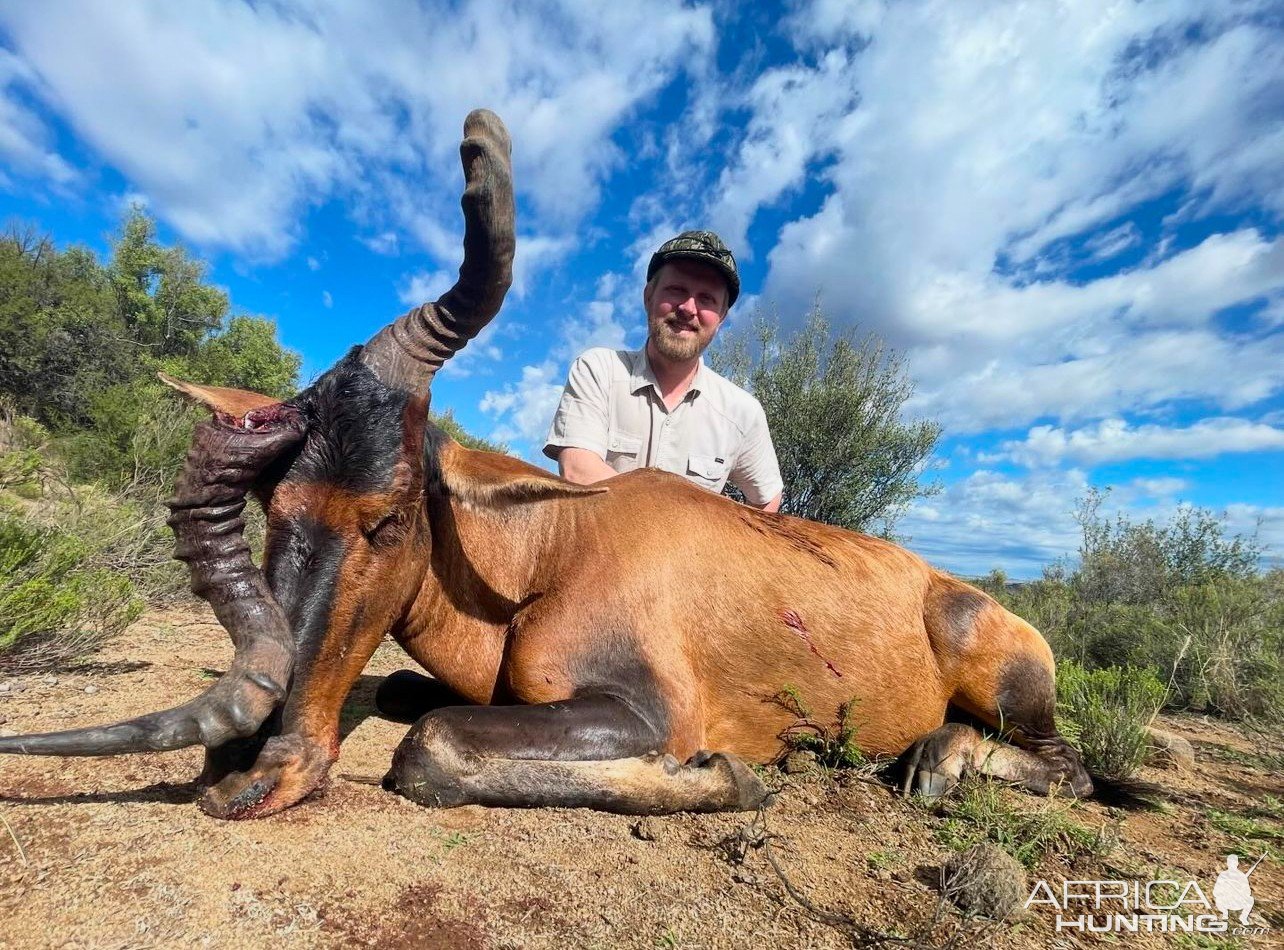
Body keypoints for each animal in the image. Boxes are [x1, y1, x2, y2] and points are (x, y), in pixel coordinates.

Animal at [0, 111, 1093, 821]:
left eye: (389, 514)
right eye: (277, 508)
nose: (241, 778)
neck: (556, 544)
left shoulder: (643, 707)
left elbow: (431, 744)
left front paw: (731, 776)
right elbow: (412, 703)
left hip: (1009, 684)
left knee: (1071, 767)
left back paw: (939, 763)